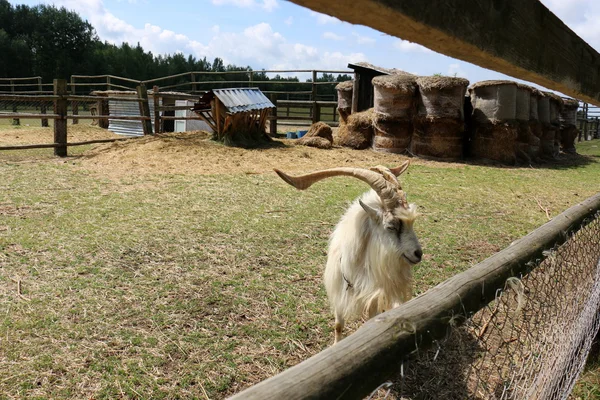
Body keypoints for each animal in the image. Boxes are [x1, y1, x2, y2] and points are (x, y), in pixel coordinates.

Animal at [276, 162, 422, 344]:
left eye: (412, 223)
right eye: (391, 226)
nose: (418, 254)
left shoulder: (373, 297)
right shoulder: (339, 291)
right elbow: (338, 324)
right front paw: (336, 345)